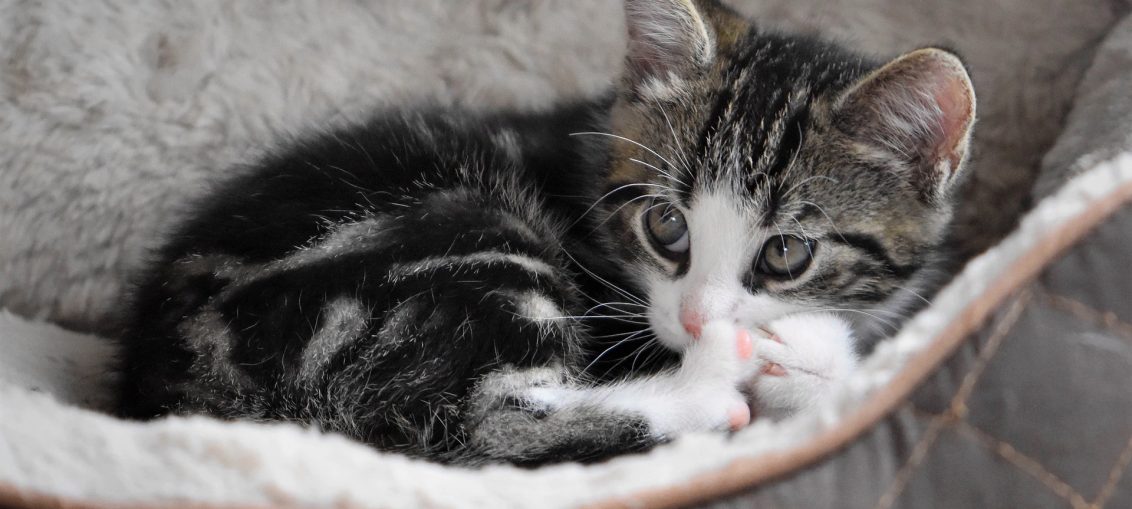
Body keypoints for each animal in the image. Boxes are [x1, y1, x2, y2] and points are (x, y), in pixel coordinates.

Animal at [114, 0, 973, 466]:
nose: (697, 320)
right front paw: (803, 354)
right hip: (467, 239)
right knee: (487, 428)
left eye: (786, 252)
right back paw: (705, 387)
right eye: (667, 225)